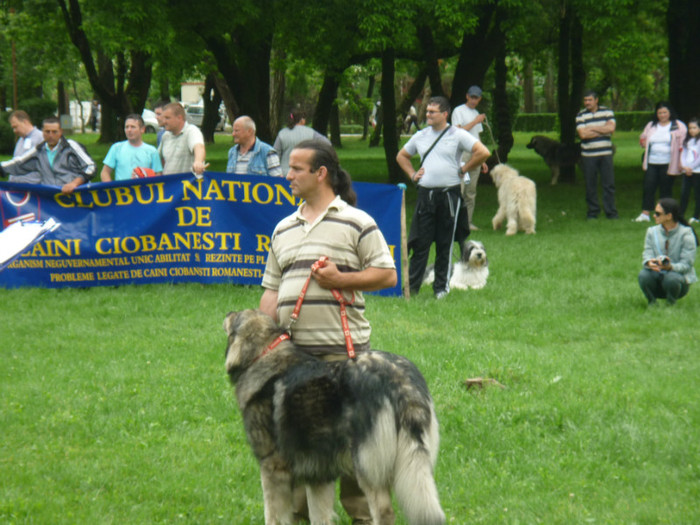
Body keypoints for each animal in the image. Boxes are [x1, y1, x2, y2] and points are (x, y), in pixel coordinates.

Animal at [223, 310, 442, 520]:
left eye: (236, 317)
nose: (227, 313)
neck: (264, 354)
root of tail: (400, 381)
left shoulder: (272, 467)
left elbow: (273, 515)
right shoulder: (318, 474)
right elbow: (319, 515)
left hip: (368, 467)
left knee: (383, 511)